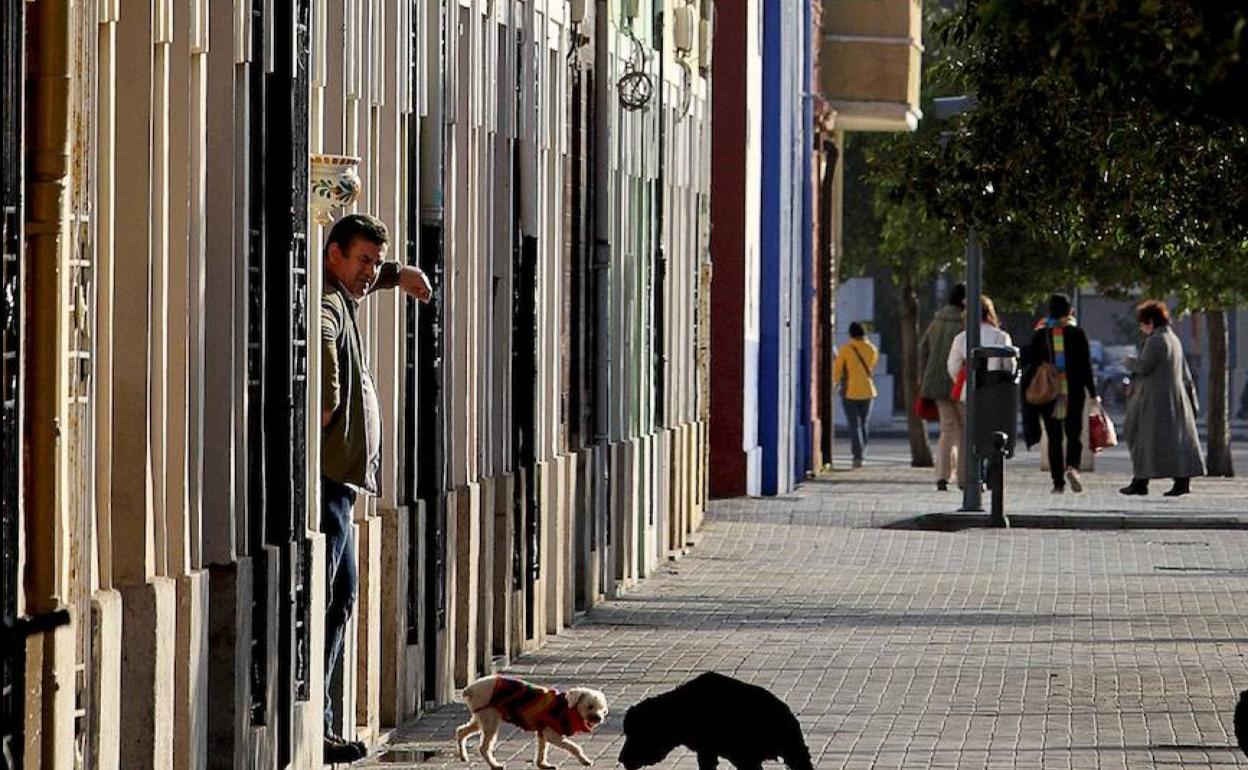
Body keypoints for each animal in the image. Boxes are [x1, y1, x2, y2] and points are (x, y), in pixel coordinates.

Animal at [459, 673, 609, 768]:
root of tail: (470, 689)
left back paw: (463, 755)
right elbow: (574, 747)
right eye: (590, 706)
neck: (568, 708)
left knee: (461, 731)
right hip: (490, 719)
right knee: (484, 747)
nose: (599, 718)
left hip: (481, 716)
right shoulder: (552, 734)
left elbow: (542, 749)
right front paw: (585, 760)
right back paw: (494, 765)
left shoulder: (542, 732)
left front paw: (542, 764)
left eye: (603, 710)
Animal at [616, 668, 813, 768]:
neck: (680, 710)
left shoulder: (740, 757)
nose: (621, 759)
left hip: (792, 751)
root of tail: (787, 716)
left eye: (637, 734)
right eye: (627, 733)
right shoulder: (708, 751)